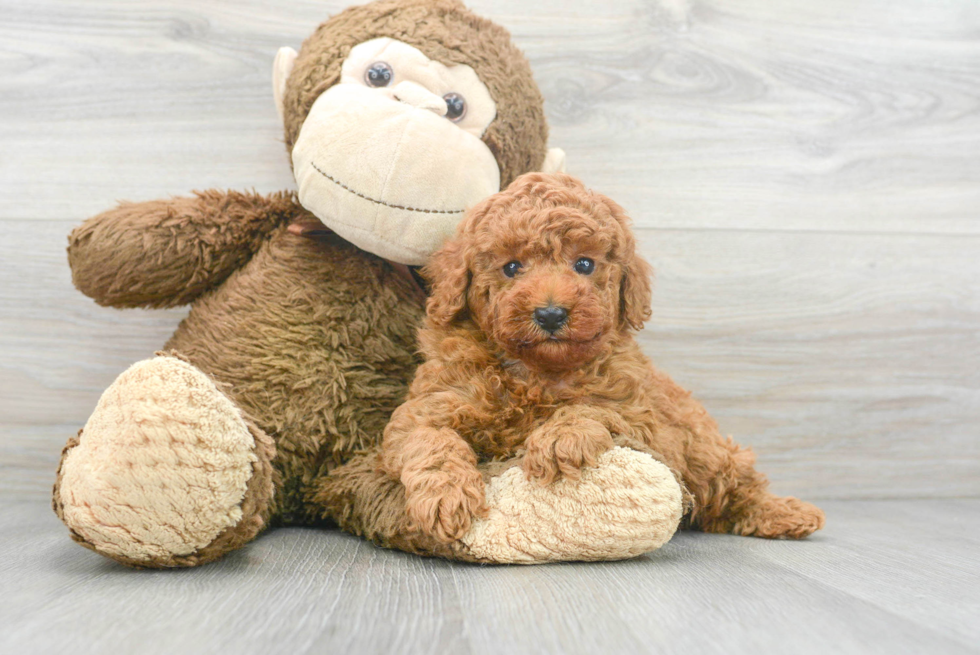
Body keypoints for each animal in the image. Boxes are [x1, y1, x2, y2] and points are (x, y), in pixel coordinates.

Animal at [378, 173, 824, 544]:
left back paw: (786, 514)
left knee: (734, 485)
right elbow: (431, 440)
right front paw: (445, 499)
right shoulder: (429, 406)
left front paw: (559, 438)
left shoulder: (640, 416)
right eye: (511, 267)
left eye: (584, 264)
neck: (535, 372)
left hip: (701, 448)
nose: (551, 313)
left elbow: (594, 408)